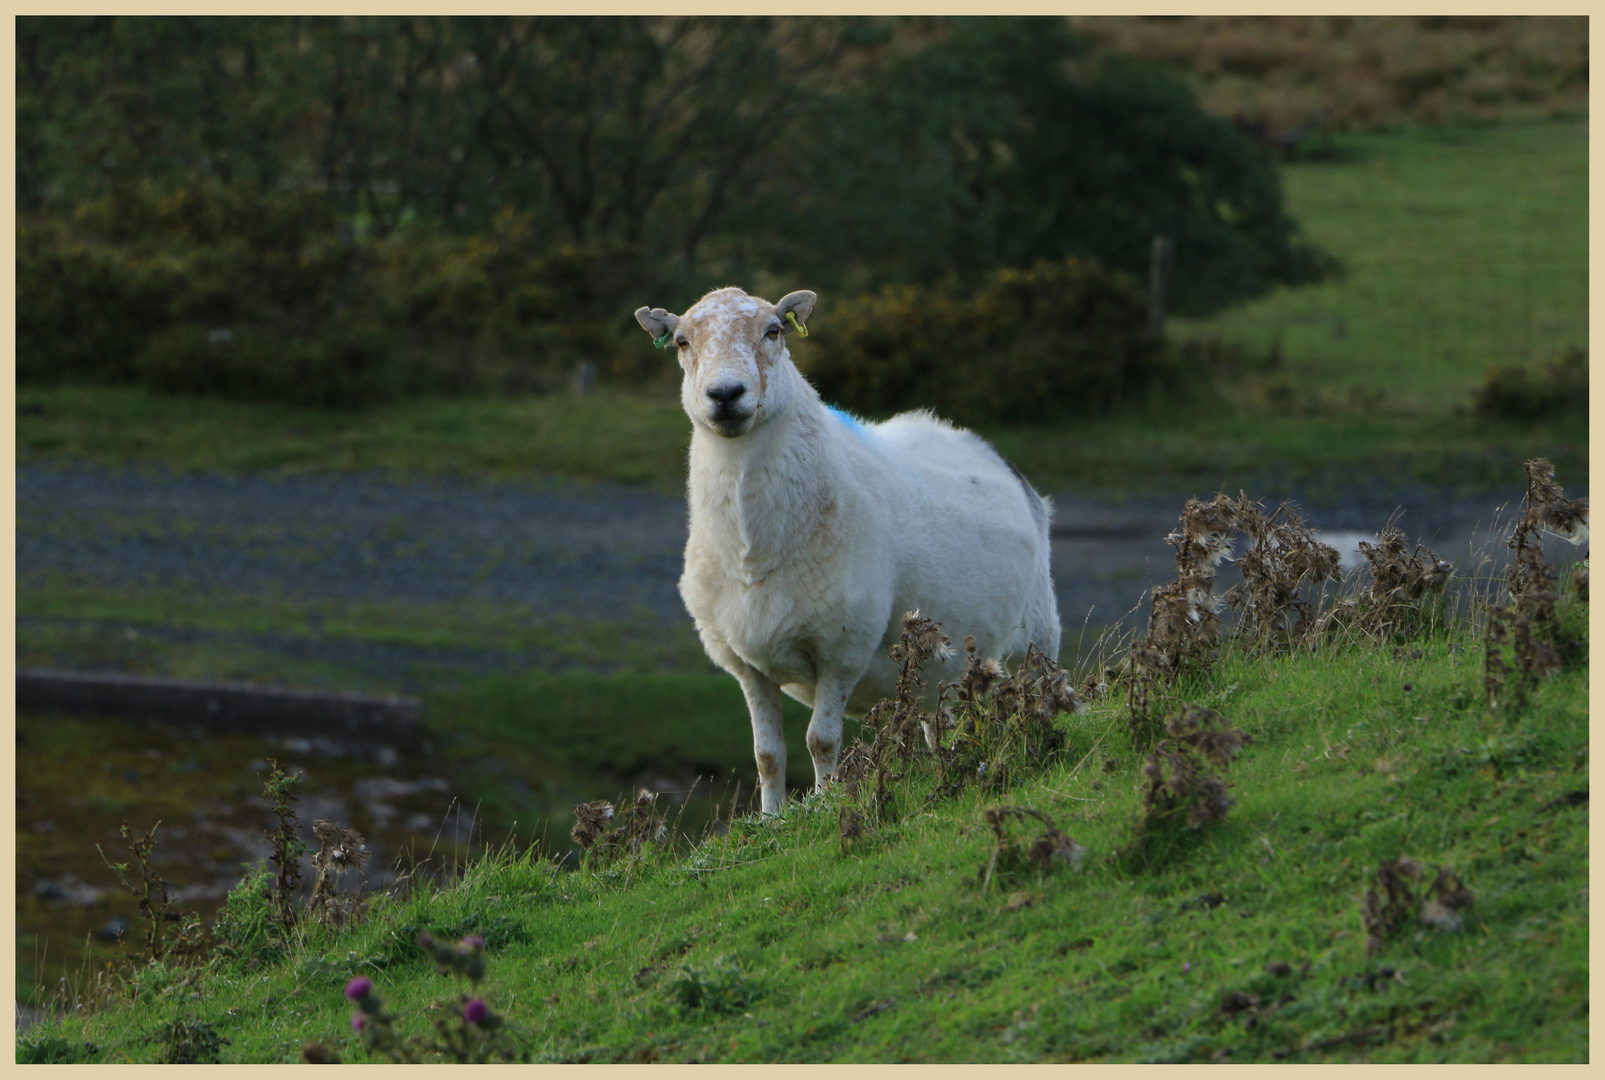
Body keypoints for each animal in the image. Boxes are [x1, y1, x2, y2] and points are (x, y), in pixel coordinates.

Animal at [632, 284, 1059, 808]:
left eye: (773, 330)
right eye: (681, 342)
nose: (726, 394)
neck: (752, 552)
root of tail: (985, 448)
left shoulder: (843, 646)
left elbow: (821, 740)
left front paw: (826, 805)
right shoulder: (743, 661)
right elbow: (766, 755)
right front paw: (771, 818)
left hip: (1036, 641)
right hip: (938, 671)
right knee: (937, 720)